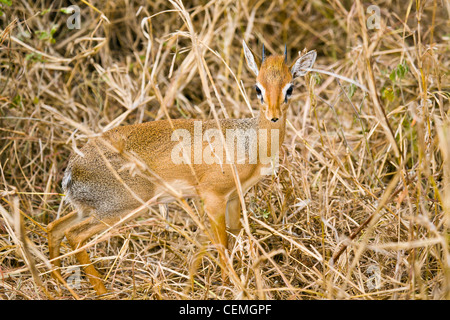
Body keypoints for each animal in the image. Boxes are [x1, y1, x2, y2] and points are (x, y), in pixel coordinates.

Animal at [48, 40, 316, 296]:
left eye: (290, 87)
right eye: (257, 88)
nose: (273, 116)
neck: (249, 144)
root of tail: (72, 169)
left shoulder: (233, 198)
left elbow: (233, 235)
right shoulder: (213, 197)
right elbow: (221, 243)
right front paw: (230, 286)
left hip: (89, 209)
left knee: (55, 228)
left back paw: (60, 286)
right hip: (121, 208)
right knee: (75, 236)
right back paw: (103, 292)